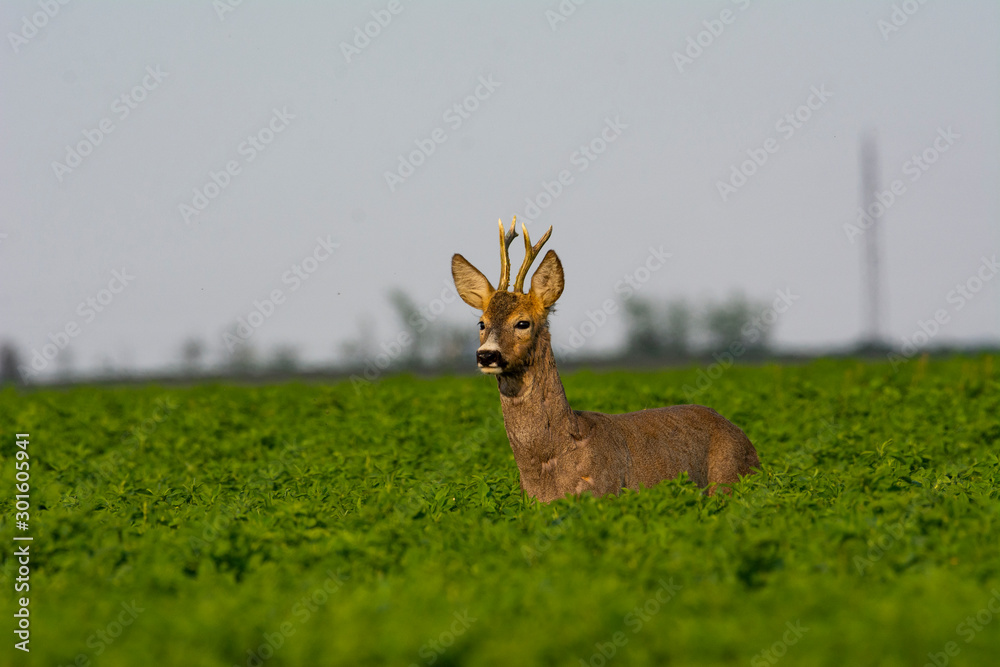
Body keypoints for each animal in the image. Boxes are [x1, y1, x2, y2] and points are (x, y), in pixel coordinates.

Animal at [451, 219, 760, 502]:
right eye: (482, 323)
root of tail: (744, 437)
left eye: (522, 323)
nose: (487, 355)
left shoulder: (605, 492)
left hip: (731, 479)